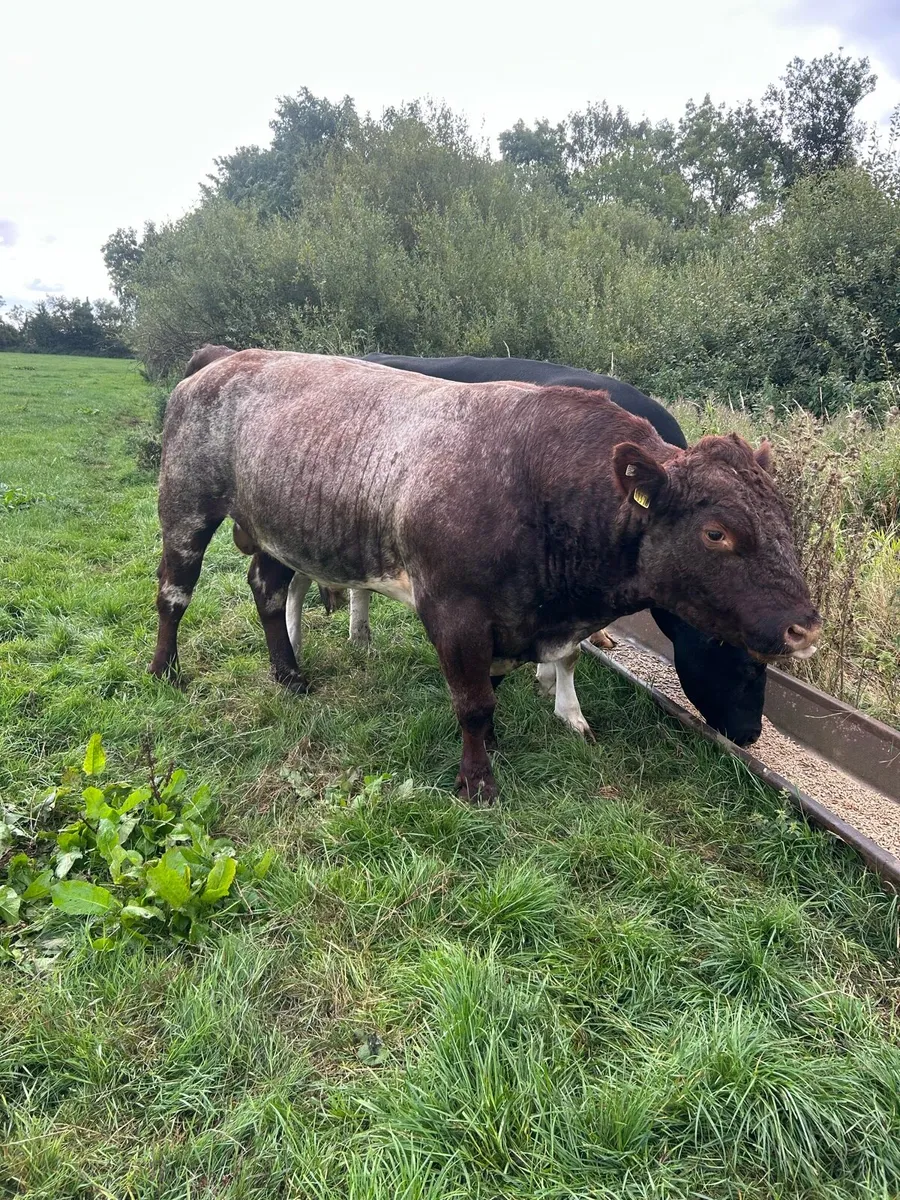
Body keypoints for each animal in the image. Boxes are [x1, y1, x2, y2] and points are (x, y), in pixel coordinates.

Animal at [150, 350, 821, 802]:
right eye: (717, 533)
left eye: (784, 514)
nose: (805, 628)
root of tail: (226, 356)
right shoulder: (455, 609)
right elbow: (472, 702)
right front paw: (478, 782)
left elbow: (497, 689)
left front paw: (507, 739)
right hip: (186, 505)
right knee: (174, 591)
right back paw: (165, 671)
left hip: (276, 526)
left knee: (266, 588)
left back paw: (289, 674)